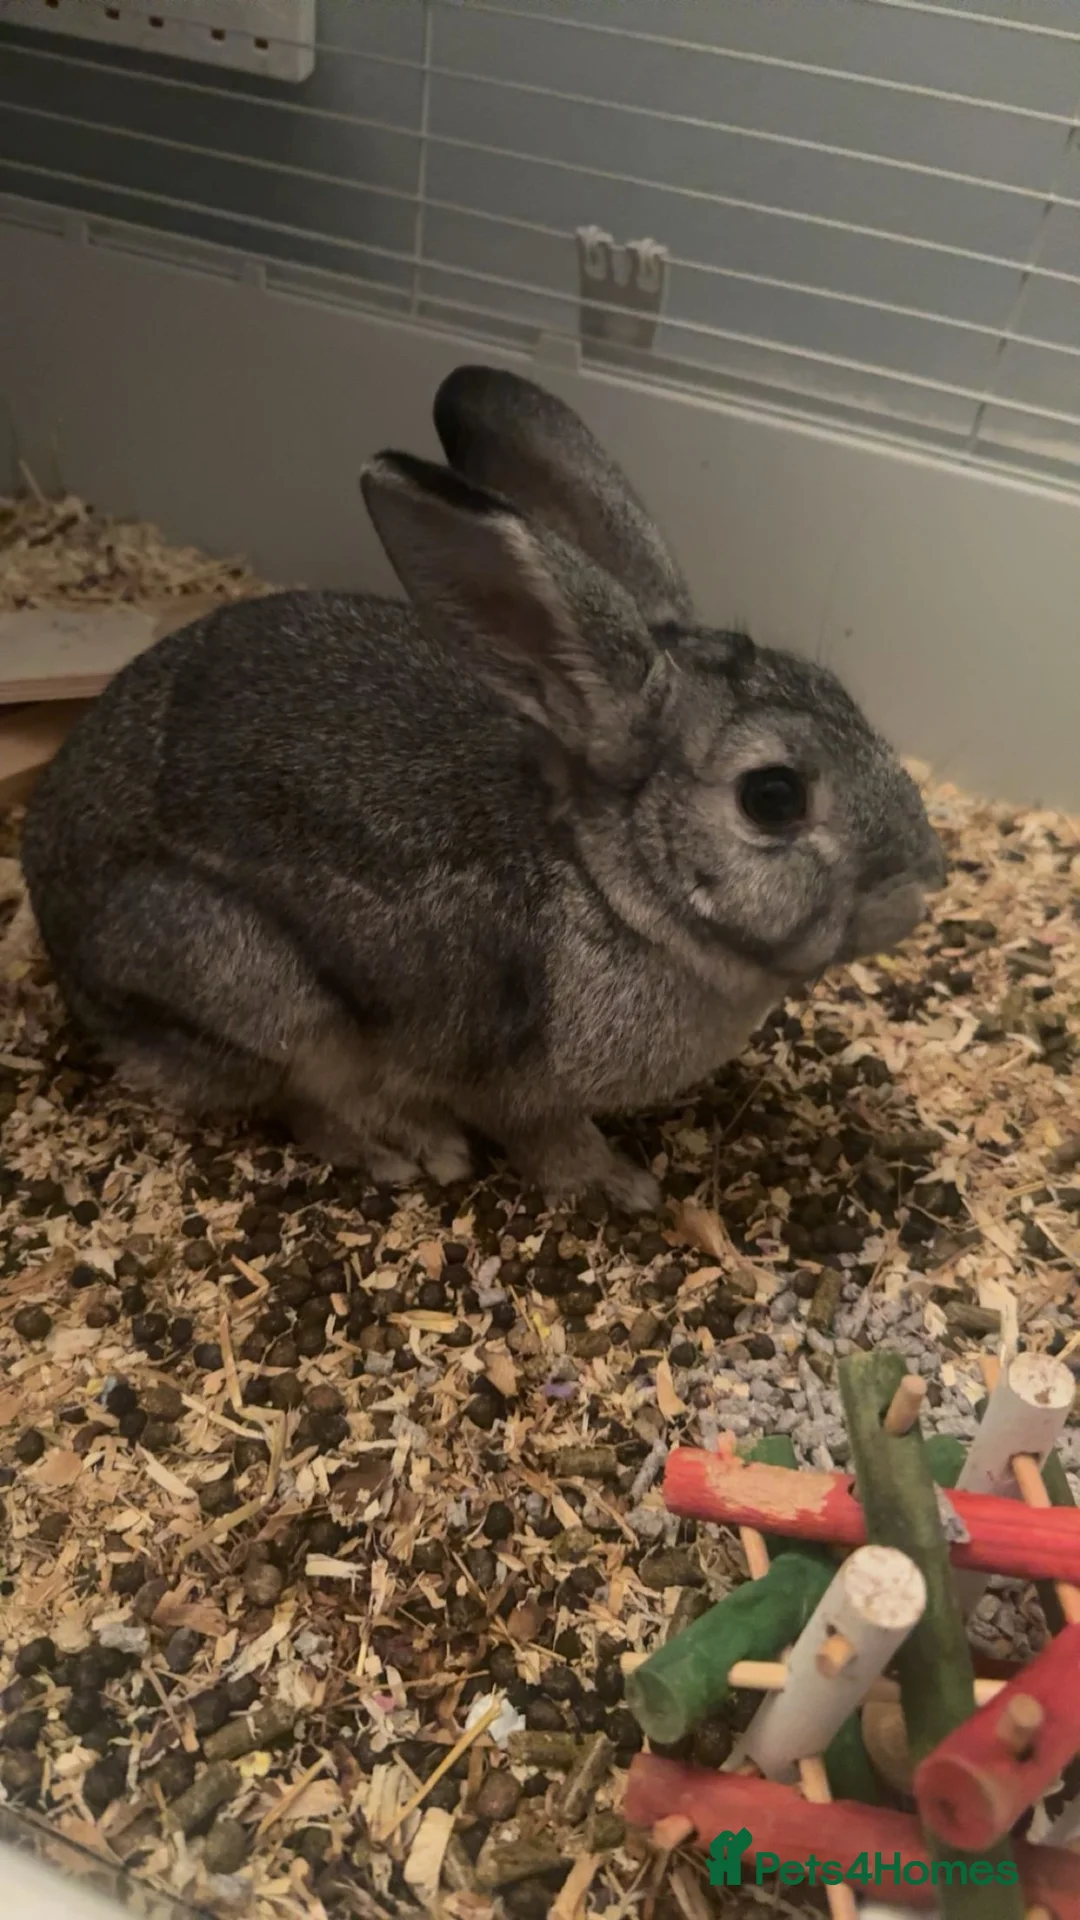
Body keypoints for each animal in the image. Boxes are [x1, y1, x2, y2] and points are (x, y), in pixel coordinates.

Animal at [19, 364, 945, 1213]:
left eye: (838, 690)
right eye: (772, 797)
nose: (926, 877)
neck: (609, 882)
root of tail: (49, 906)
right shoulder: (520, 1089)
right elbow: (550, 1140)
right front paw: (624, 1187)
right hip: (251, 990)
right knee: (299, 1102)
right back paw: (409, 1151)